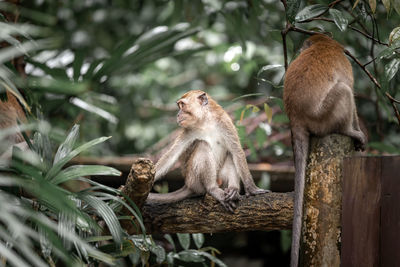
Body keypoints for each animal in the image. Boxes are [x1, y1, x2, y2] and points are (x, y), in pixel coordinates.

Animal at [282, 34, 368, 267]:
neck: (325, 44)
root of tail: (295, 115)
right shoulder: (345, 65)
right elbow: (350, 92)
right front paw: (359, 133)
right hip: (324, 117)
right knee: (344, 91)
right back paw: (349, 131)